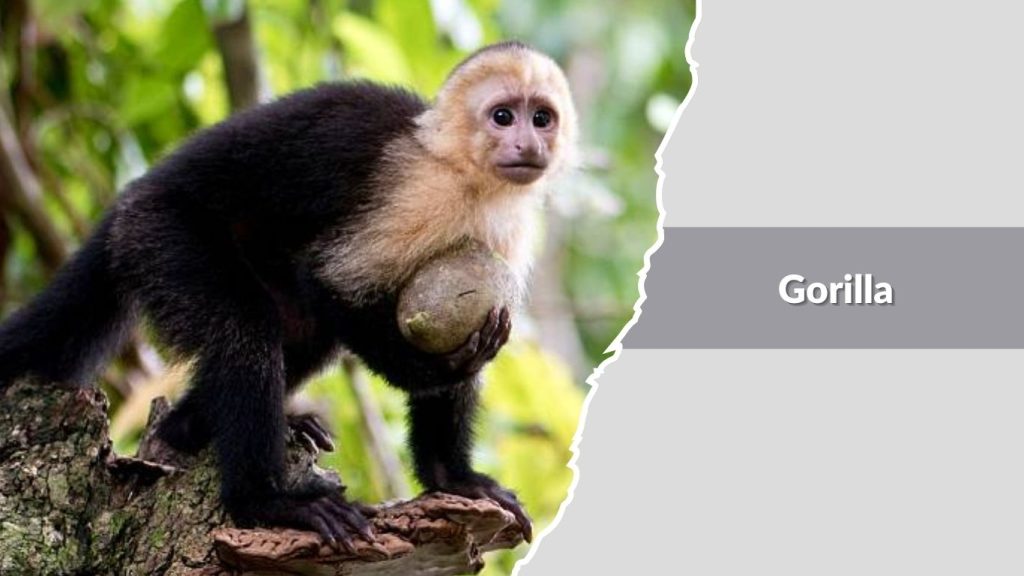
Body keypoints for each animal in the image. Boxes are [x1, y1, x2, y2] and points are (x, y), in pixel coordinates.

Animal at [0, 40, 577, 549]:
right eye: (502, 116)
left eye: (541, 118)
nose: (528, 145)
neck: (462, 169)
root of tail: (130, 199)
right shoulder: (420, 192)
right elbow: (328, 279)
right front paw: (435, 368)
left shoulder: (502, 228)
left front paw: (451, 478)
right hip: (161, 234)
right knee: (247, 328)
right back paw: (265, 500)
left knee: (304, 331)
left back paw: (190, 426)